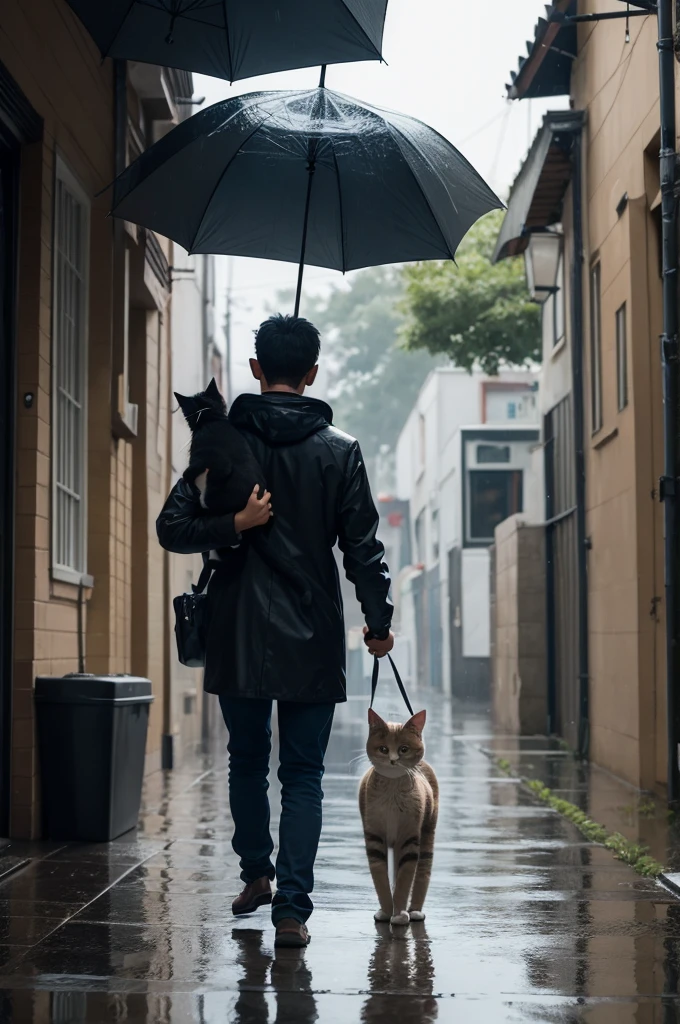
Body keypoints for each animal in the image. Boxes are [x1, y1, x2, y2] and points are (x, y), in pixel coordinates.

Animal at [358, 708, 438, 925]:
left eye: (403, 749)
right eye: (383, 749)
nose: (393, 760)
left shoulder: (409, 839)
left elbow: (404, 880)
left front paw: (400, 913)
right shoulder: (374, 838)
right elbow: (380, 879)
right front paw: (387, 910)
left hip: (427, 832)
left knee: (422, 871)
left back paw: (415, 910)